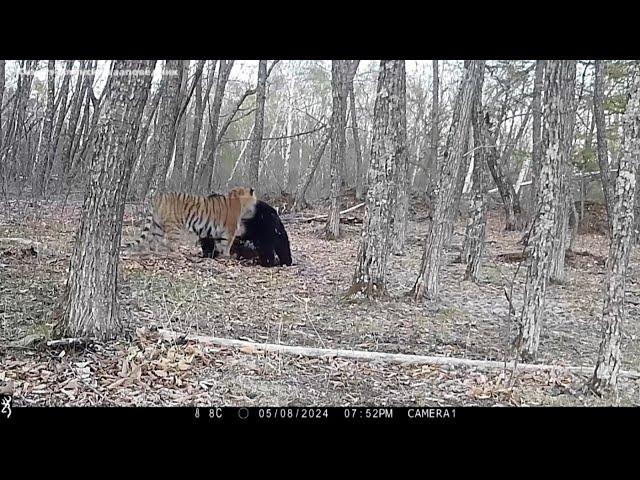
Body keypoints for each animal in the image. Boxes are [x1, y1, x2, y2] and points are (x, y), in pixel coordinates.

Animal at [124, 186, 256, 256]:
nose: (255, 209)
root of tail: (158, 196)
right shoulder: (230, 230)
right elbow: (227, 244)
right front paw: (227, 256)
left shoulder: (220, 232)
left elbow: (219, 244)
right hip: (174, 226)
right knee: (169, 242)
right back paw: (175, 252)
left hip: (158, 224)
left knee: (153, 240)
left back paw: (154, 252)